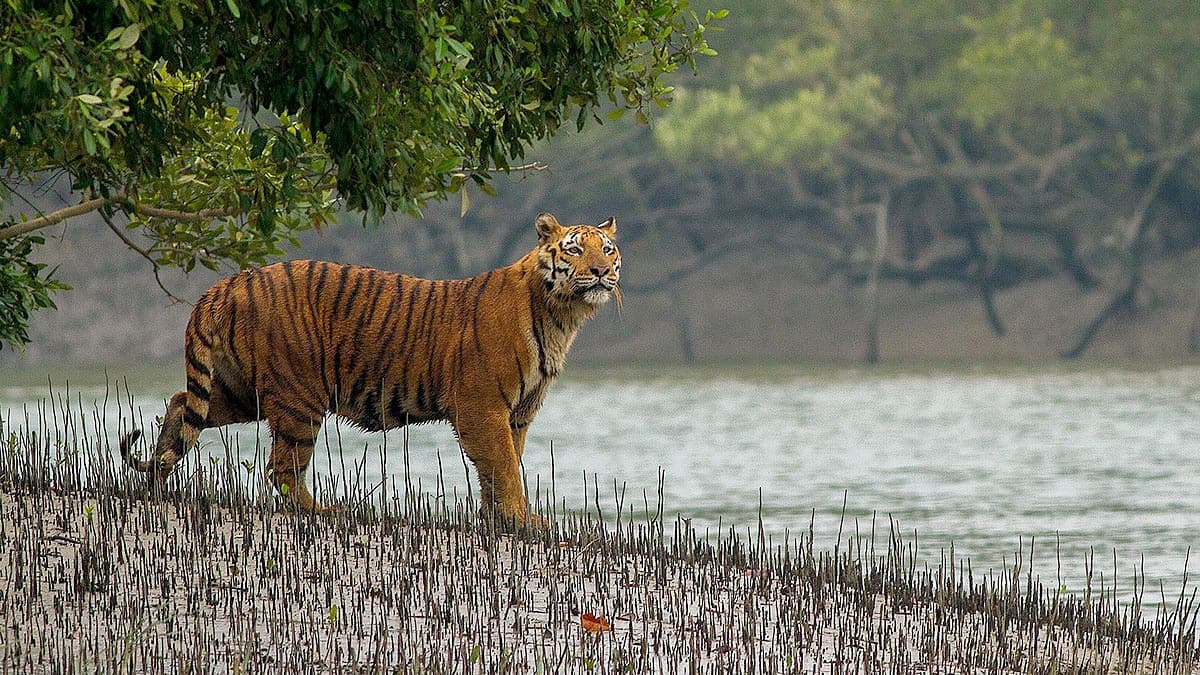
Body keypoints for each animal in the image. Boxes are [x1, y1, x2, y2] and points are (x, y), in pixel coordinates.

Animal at [120, 211, 619, 526]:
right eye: (574, 251)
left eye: (608, 250)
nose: (600, 272)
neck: (561, 316)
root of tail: (228, 283)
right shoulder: (483, 407)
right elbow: (504, 467)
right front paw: (523, 520)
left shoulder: (517, 413)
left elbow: (503, 465)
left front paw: (499, 518)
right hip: (299, 397)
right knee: (281, 469)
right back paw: (322, 512)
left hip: (243, 391)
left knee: (181, 403)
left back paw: (156, 480)